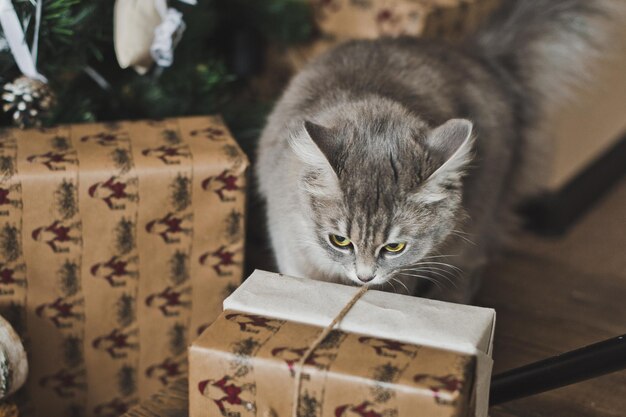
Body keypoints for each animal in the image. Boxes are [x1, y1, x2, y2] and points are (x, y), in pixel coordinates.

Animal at [254, 0, 620, 300]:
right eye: (339, 241)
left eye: (394, 247)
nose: (365, 277)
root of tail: (478, 56)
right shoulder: (293, 253)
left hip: (470, 236)